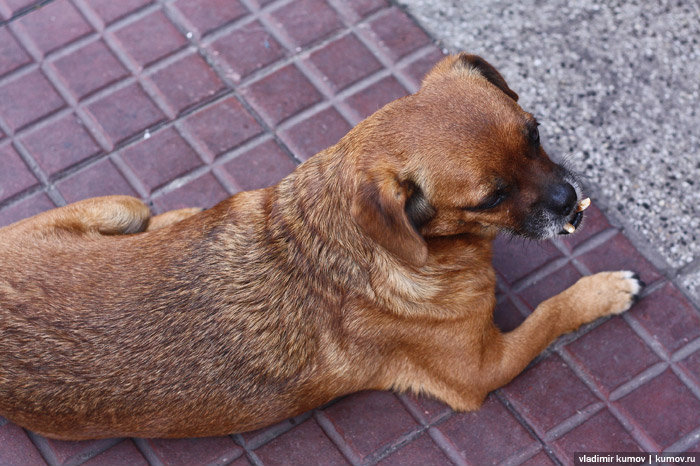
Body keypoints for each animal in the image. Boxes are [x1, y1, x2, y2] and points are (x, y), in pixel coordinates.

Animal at [0, 52, 644, 438]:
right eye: (491, 197)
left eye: (535, 133)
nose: (569, 199)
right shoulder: (482, 370)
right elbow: (551, 312)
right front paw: (603, 290)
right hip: (119, 204)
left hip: (121, 205)